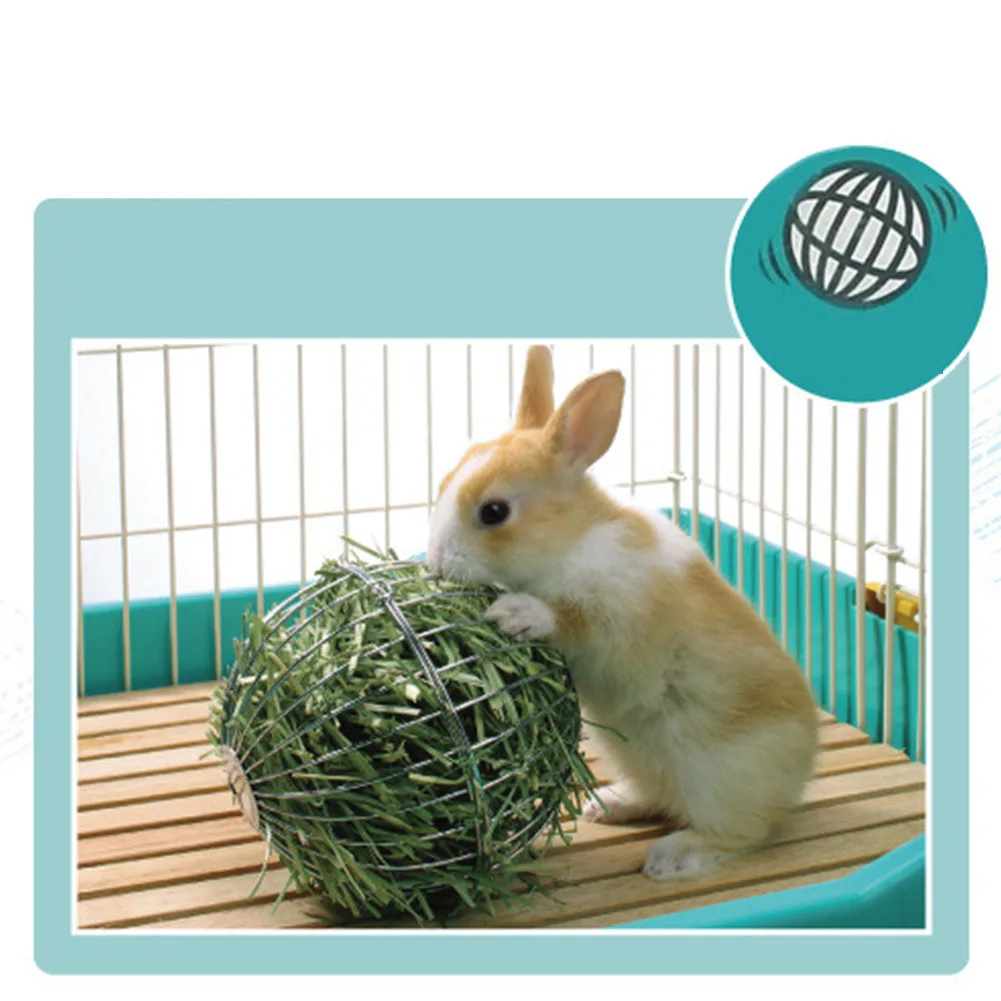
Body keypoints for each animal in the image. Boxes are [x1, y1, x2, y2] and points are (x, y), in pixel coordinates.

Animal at [427, 345, 818, 881]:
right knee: (661, 798)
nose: (435, 561)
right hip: (634, 757)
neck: (571, 541)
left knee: (744, 832)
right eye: (445, 481)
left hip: (718, 778)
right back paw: (606, 806)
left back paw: (671, 858)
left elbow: (571, 620)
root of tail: (802, 774)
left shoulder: (619, 617)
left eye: (494, 512)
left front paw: (514, 613)